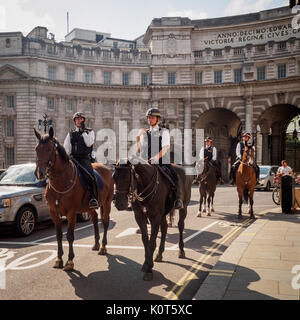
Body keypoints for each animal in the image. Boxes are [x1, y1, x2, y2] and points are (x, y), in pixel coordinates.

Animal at [33, 127, 114, 270]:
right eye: (36, 149)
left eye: (49, 149)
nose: (39, 173)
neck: (61, 181)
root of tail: (107, 168)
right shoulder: (54, 212)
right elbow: (59, 236)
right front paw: (59, 259)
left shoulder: (71, 213)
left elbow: (70, 236)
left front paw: (70, 261)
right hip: (89, 206)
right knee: (94, 219)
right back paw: (96, 243)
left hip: (107, 202)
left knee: (105, 222)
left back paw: (103, 247)